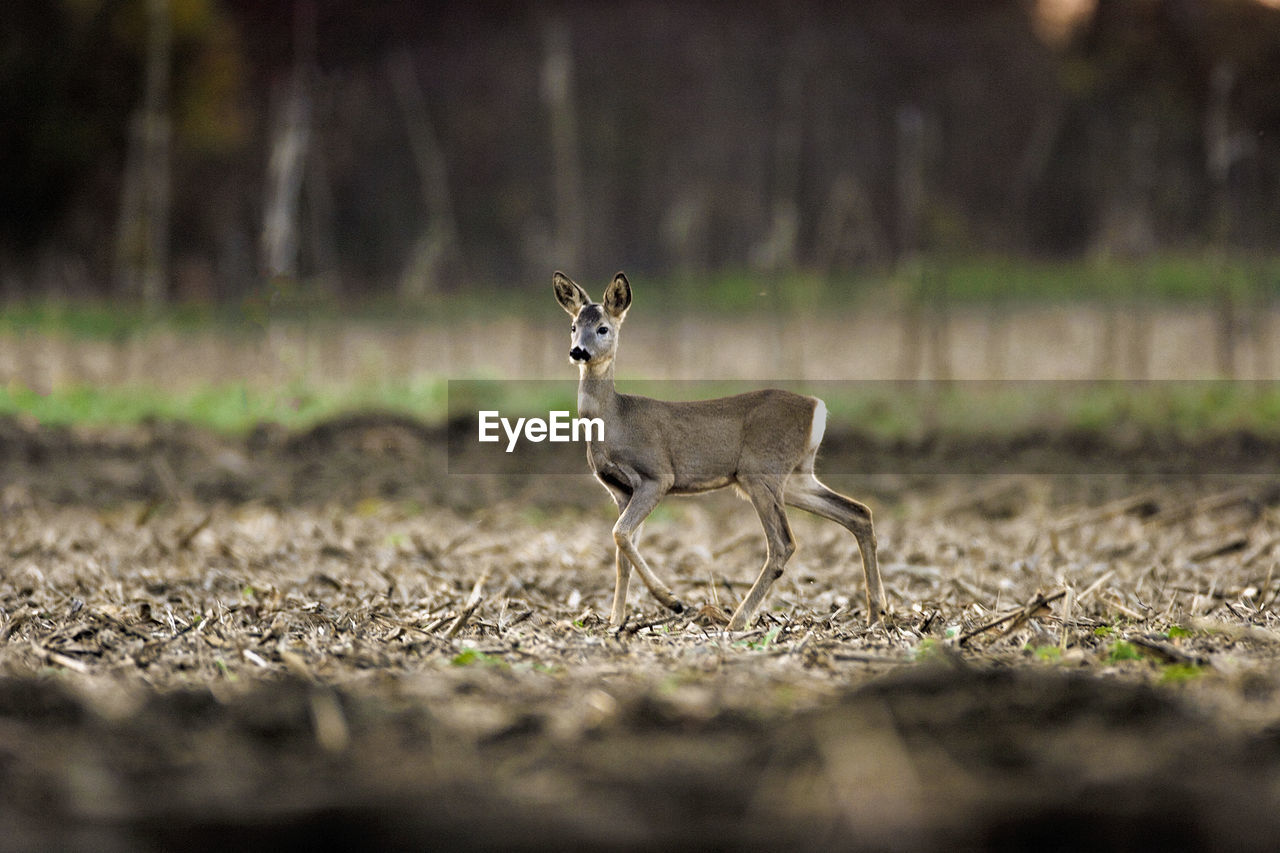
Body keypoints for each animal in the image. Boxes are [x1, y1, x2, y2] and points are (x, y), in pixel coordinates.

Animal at [555, 268, 885, 627]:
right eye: (573, 326)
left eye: (603, 328)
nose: (578, 351)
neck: (615, 418)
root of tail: (817, 407)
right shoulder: (620, 490)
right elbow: (621, 553)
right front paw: (616, 620)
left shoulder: (657, 475)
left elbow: (619, 534)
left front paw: (671, 600)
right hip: (795, 477)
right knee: (858, 512)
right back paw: (877, 612)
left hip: (760, 471)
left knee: (783, 544)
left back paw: (738, 619)